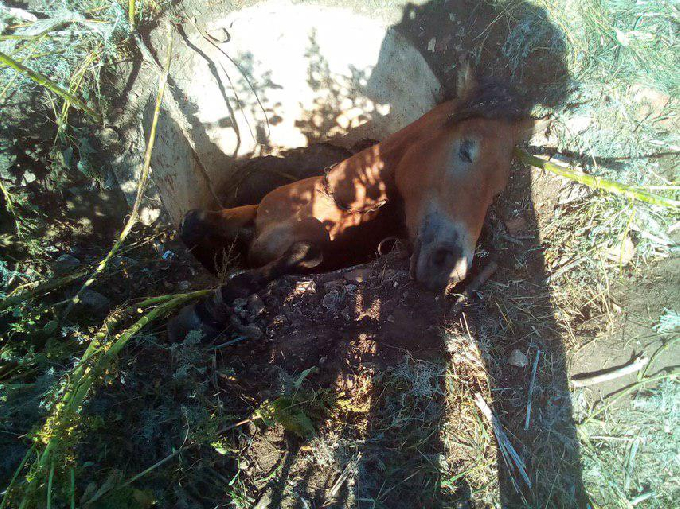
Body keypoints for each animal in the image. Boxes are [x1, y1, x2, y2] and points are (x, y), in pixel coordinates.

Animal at [169, 70, 535, 341]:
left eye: (496, 193)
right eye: (466, 149)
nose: (449, 269)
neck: (330, 204)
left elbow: (298, 255)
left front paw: (207, 309)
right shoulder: (254, 215)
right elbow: (193, 221)